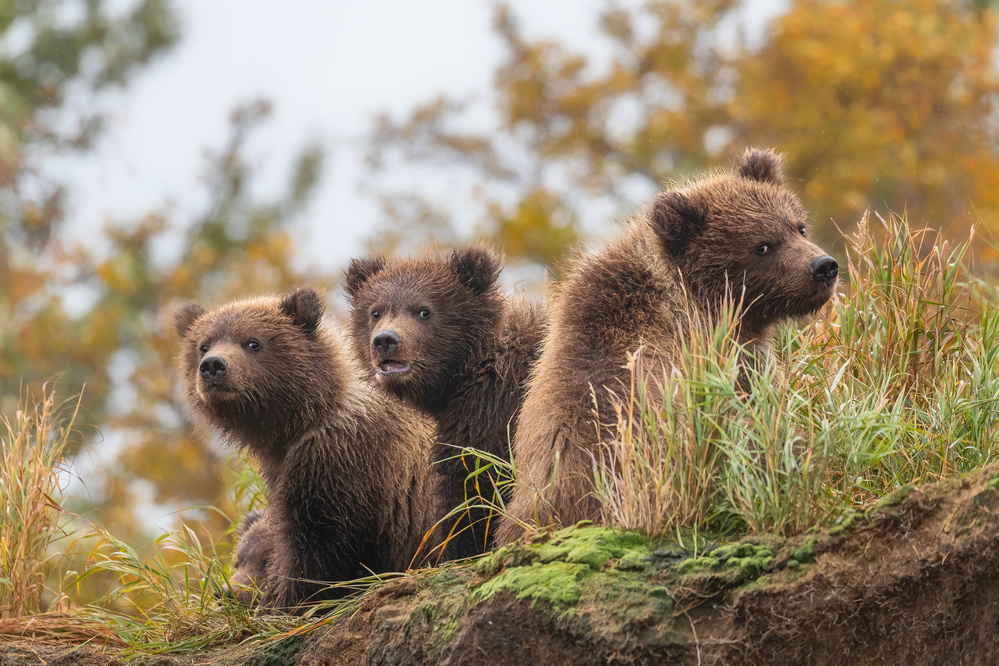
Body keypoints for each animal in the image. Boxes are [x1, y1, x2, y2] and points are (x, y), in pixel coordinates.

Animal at [175, 287, 439, 611]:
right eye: (203, 345)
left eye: (252, 342)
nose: (213, 365)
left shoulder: (343, 463)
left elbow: (318, 545)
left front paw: (286, 602)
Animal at [344, 246, 546, 561]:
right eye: (375, 311)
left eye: (424, 310)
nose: (385, 341)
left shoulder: (490, 408)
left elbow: (474, 481)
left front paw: (459, 548)